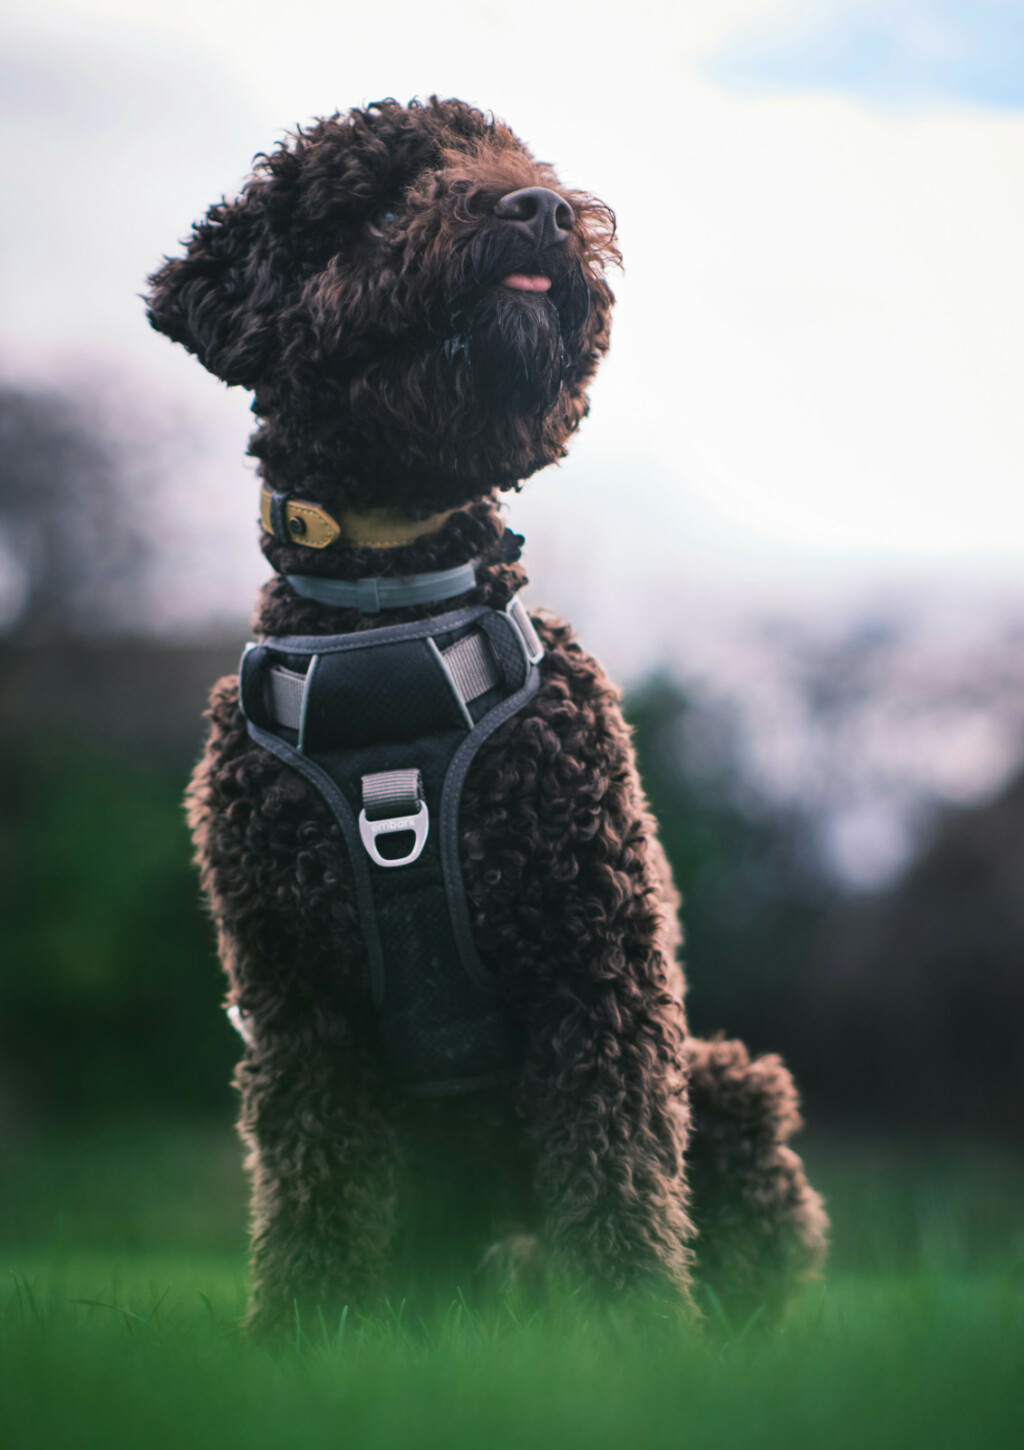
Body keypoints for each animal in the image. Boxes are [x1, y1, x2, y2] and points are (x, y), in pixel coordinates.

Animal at [147, 96, 823, 1328]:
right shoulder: (295, 1005)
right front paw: (300, 1333)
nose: (544, 209)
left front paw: (636, 1339)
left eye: (517, 160)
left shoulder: (598, 968)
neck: (392, 607)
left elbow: (619, 1178)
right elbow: (312, 1188)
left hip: (729, 1081)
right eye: (385, 196)